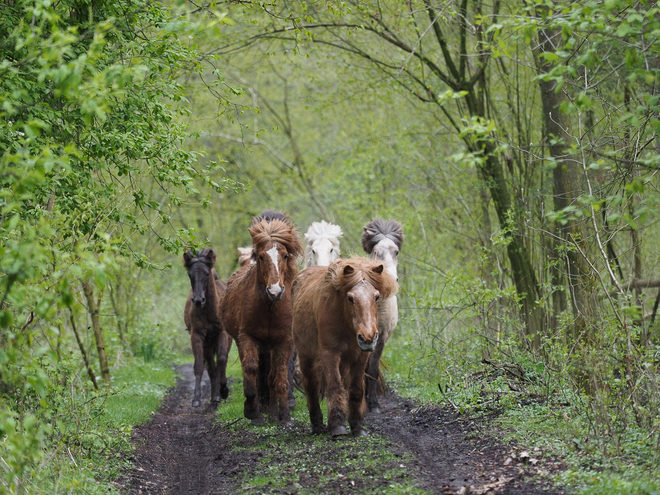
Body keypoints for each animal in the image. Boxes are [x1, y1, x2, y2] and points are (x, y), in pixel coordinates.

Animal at [183, 250, 232, 408]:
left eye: (206, 273)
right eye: (190, 274)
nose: (199, 300)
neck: (209, 310)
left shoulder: (222, 333)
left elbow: (222, 359)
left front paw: (224, 390)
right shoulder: (197, 335)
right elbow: (199, 365)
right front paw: (196, 398)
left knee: (219, 364)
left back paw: (218, 394)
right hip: (208, 344)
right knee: (211, 367)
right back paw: (214, 396)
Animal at [222, 219, 304, 424]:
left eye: (285, 256)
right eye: (260, 257)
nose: (274, 291)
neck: (269, 307)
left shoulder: (284, 341)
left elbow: (280, 376)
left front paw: (284, 415)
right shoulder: (247, 337)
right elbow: (251, 369)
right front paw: (252, 410)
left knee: (271, 375)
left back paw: (273, 411)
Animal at [292, 258, 398, 436]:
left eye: (376, 297)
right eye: (350, 298)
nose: (368, 338)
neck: (347, 324)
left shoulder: (361, 356)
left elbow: (356, 389)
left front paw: (357, 427)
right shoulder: (330, 353)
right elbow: (335, 386)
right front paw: (337, 426)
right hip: (305, 355)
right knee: (311, 385)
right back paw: (317, 425)